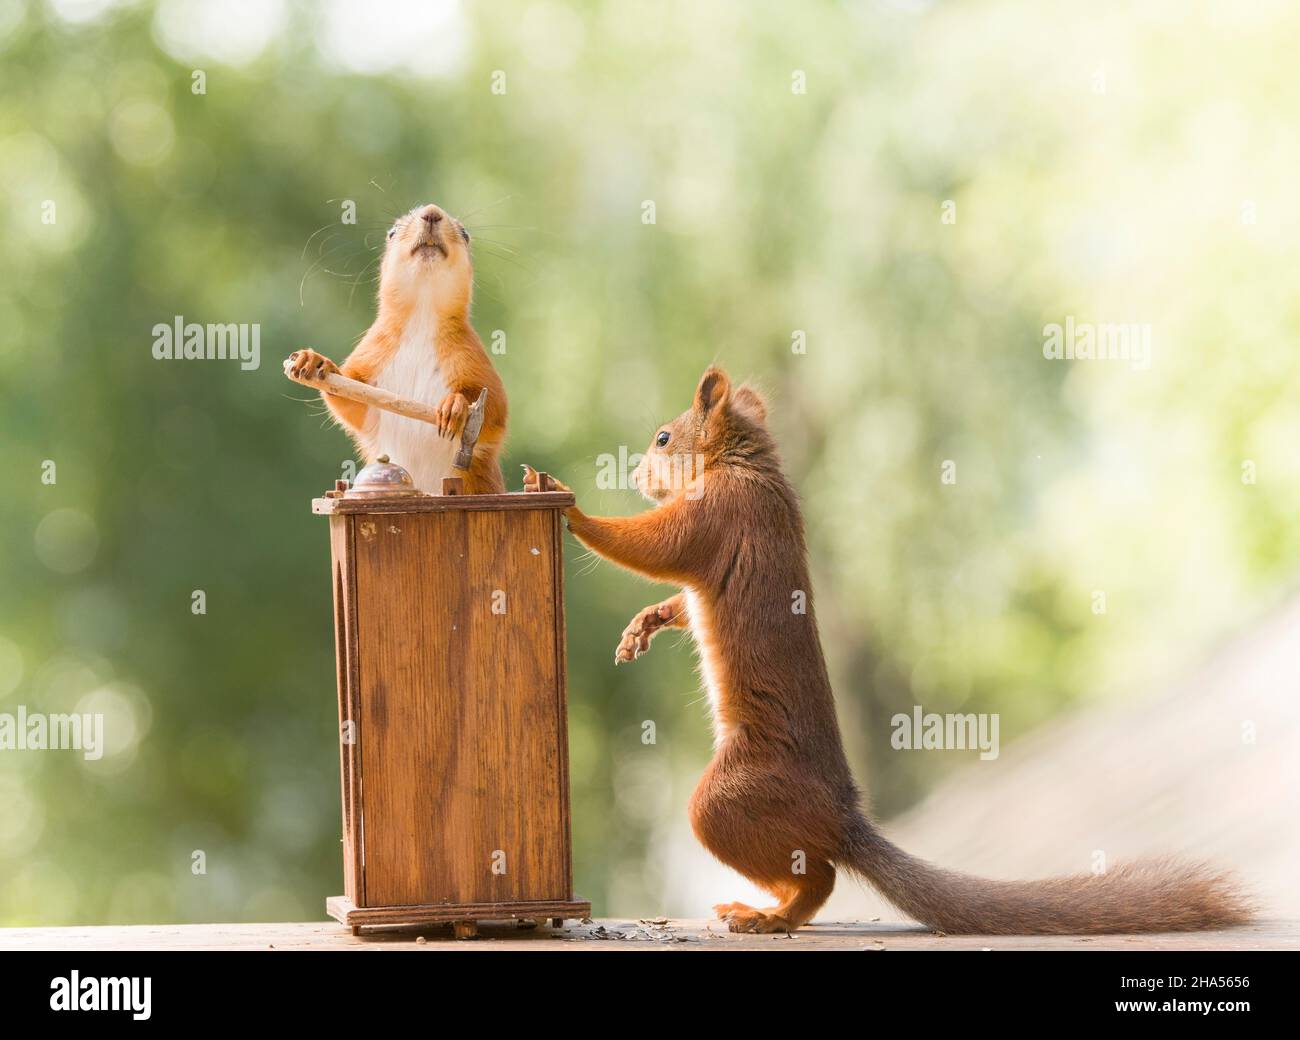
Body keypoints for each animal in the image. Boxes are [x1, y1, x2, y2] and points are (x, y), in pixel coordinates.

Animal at [288, 202, 506, 494]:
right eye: (392, 232)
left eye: (466, 234)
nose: (432, 212)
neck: (422, 314)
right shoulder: (373, 354)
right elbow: (352, 401)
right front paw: (315, 362)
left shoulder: (472, 356)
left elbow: (495, 410)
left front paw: (456, 405)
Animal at [523, 366, 1253, 934]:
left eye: (664, 438)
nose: (640, 474)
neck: (744, 464)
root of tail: (843, 818)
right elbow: (674, 588)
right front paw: (646, 623)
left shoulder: (719, 514)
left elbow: (656, 545)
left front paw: (570, 507)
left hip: (732, 798)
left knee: (818, 873)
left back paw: (769, 915)